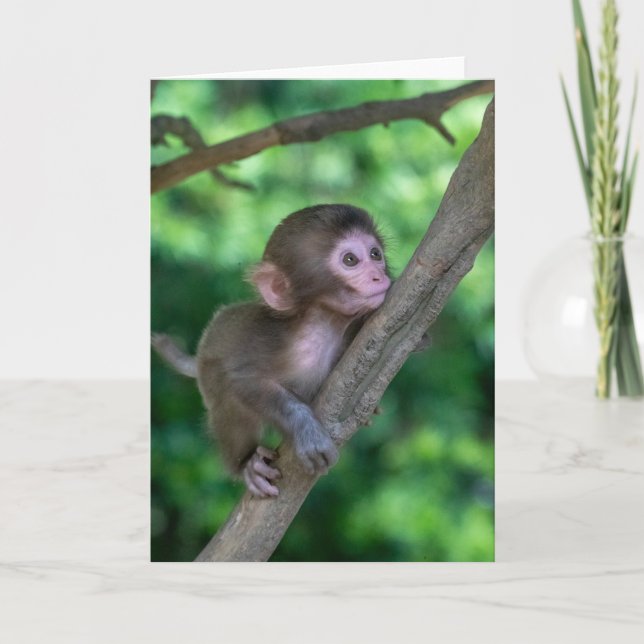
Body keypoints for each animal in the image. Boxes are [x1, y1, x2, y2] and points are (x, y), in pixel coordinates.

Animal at [195, 204, 392, 498]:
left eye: (375, 253)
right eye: (350, 260)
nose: (379, 275)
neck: (323, 327)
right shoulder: (270, 343)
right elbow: (242, 380)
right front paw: (305, 430)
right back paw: (247, 464)